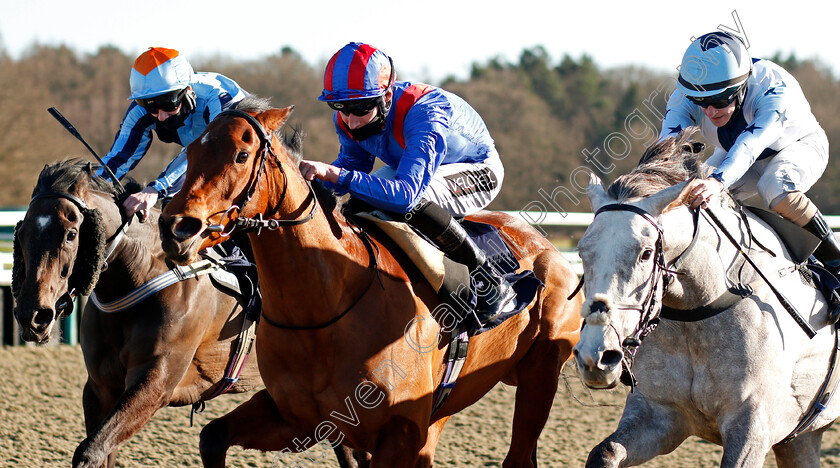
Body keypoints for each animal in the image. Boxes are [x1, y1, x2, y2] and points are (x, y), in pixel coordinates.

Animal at [12, 160, 360, 468]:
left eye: (71, 234)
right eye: (23, 232)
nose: (33, 315)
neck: (140, 276)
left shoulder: (156, 383)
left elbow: (90, 451)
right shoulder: (100, 388)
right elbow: (100, 451)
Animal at [158, 97, 584, 466]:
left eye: (241, 156)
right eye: (190, 153)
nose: (176, 228)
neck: (324, 308)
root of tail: (545, 245)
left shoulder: (400, 433)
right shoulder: (299, 418)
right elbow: (212, 436)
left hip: (539, 375)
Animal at [576, 133, 836, 468]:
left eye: (645, 253)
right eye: (583, 251)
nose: (595, 356)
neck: (698, 314)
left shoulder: (752, 428)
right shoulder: (658, 413)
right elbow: (606, 452)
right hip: (800, 440)